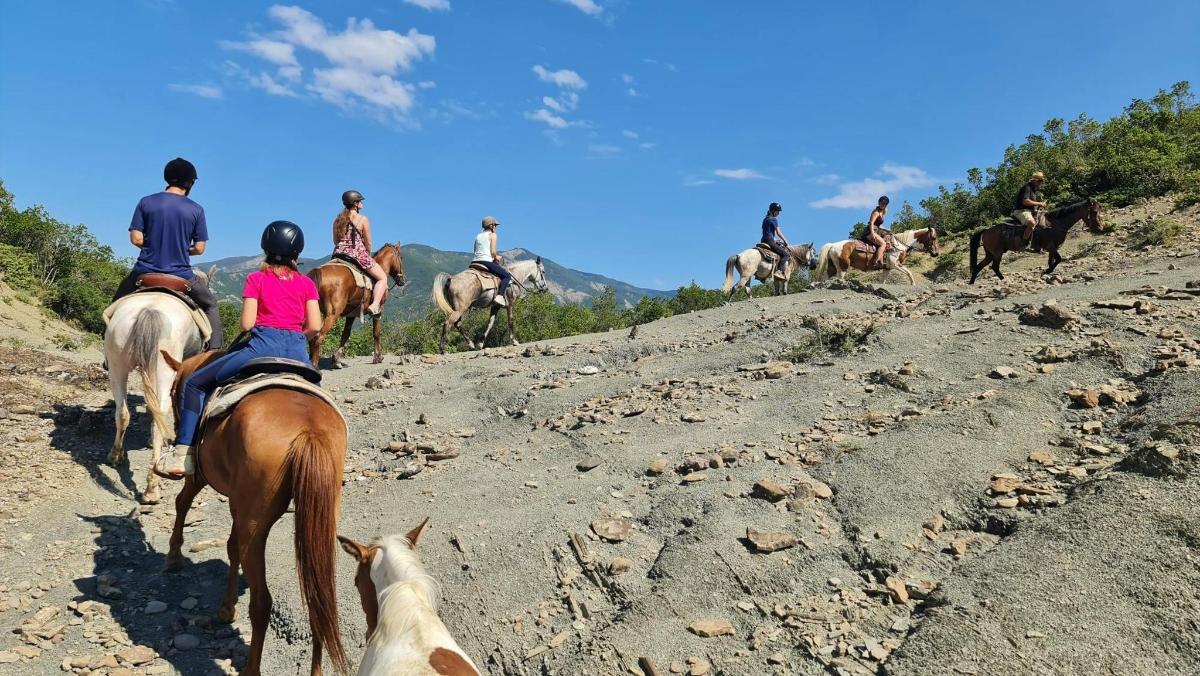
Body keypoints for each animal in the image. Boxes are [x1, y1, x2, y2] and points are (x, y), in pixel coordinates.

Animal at [103, 267, 213, 504]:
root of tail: (151, 309)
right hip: (163, 369)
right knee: (159, 416)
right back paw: (152, 488)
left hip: (117, 365)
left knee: (122, 412)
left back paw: (115, 456)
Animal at [157, 348, 350, 676]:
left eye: (173, 392)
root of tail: (309, 431)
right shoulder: (238, 503)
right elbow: (231, 547)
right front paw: (226, 606)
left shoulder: (202, 476)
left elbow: (183, 504)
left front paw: (173, 556)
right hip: (318, 518)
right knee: (319, 601)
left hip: (254, 521)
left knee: (262, 603)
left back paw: (251, 667)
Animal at [964, 200, 1104, 285]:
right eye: (1094, 212)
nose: (1100, 228)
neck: (1053, 224)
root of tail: (986, 231)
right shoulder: (1051, 246)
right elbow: (1058, 259)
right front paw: (1047, 271)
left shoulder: (1051, 248)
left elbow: (1051, 261)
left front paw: (1047, 271)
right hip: (997, 253)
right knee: (994, 267)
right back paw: (1003, 280)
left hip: (990, 254)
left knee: (979, 266)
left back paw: (972, 283)